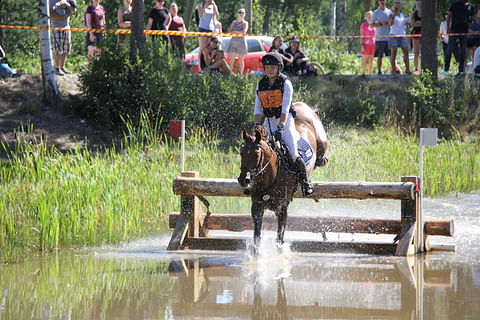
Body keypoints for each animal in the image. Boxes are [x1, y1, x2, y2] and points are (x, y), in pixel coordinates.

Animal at [237, 102, 328, 250]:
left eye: (257, 154)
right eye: (242, 153)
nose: (243, 179)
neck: (270, 178)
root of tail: (302, 104)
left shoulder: (282, 209)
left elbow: (279, 239)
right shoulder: (257, 207)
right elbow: (257, 238)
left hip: (321, 139)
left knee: (317, 154)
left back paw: (319, 163)